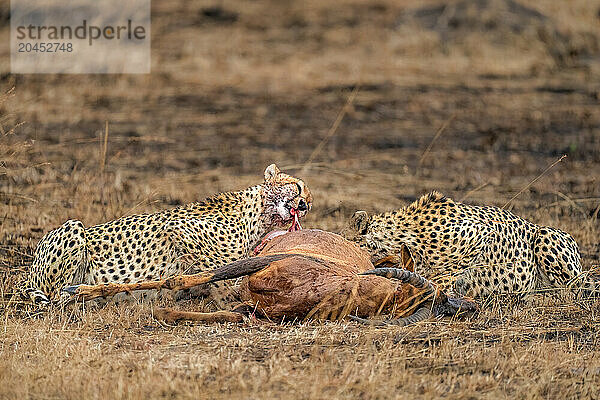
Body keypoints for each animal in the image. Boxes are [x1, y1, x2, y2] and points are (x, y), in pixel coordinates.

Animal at [17, 164, 314, 304]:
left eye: (309, 205)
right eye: (298, 188)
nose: (303, 206)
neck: (259, 214)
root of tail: (27, 272)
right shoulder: (178, 229)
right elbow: (221, 268)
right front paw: (228, 293)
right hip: (74, 226)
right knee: (57, 297)